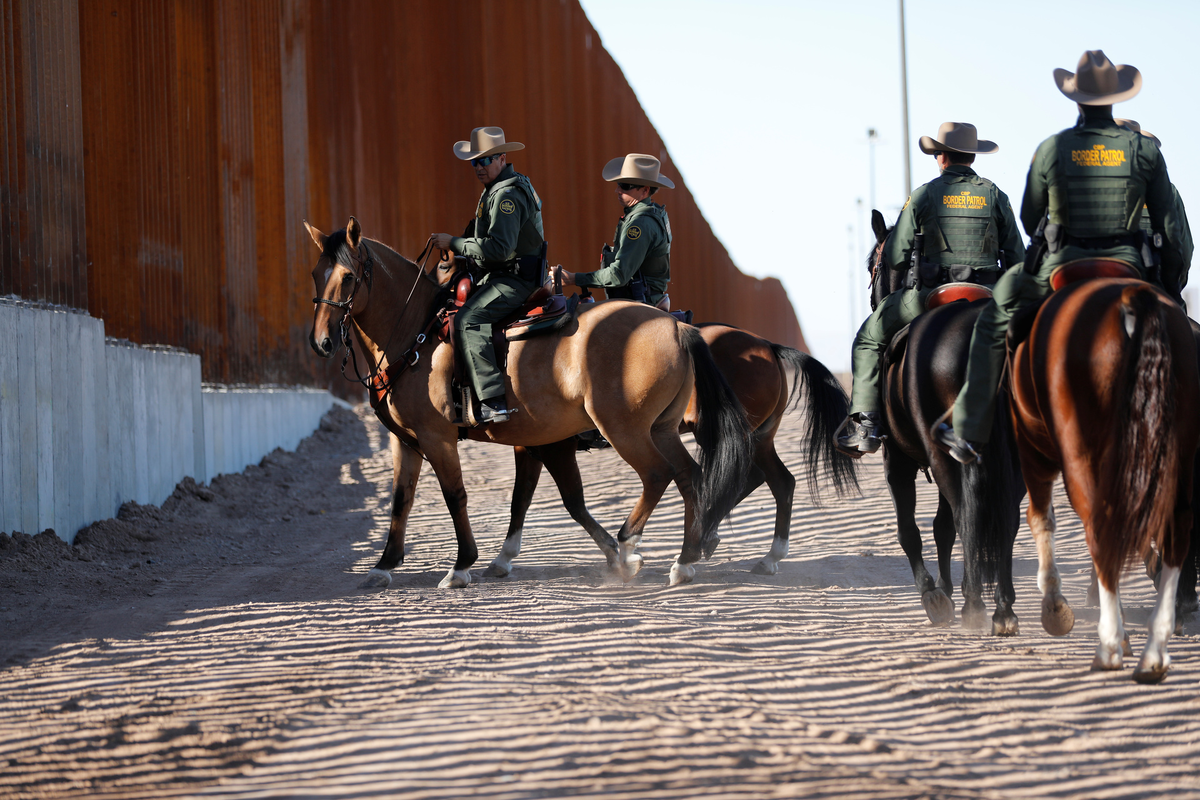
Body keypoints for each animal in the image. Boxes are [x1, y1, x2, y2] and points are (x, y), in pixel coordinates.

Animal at [304, 219, 748, 587]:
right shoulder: (409, 440)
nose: (321, 341)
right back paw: (684, 560)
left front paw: (462, 565)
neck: (417, 335)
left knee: (658, 475)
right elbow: (403, 500)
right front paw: (384, 565)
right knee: (689, 475)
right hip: (662, 428)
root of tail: (676, 326)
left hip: (626, 430)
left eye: (347, 277)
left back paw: (629, 544)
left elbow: (457, 494)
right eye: (314, 274)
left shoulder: (439, 437)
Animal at [472, 321, 859, 582]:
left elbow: (571, 502)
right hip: (757, 437)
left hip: (724, 434)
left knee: (755, 478)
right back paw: (747, 549)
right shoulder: (531, 445)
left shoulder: (554, 447)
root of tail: (767, 345)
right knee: (776, 480)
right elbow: (521, 500)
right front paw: (502, 559)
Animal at [868, 209, 1027, 633]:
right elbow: (941, 528)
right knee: (1004, 517)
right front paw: (946, 589)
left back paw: (975, 604)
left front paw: (934, 595)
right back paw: (1003, 608)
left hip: (943, 455)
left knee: (965, 514)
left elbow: (912, 529)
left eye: (873, 267)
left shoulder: (897, 460)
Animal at [1012, 273, 1200, 681]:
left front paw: (1055, 605)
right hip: (1179, 457)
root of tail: (1131, 297)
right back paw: (1154, 651)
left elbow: (1041, 519)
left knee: (1100, 532)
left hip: (1076, 453)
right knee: (1176, 533)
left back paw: (1112, 643)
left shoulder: (1032, 449)